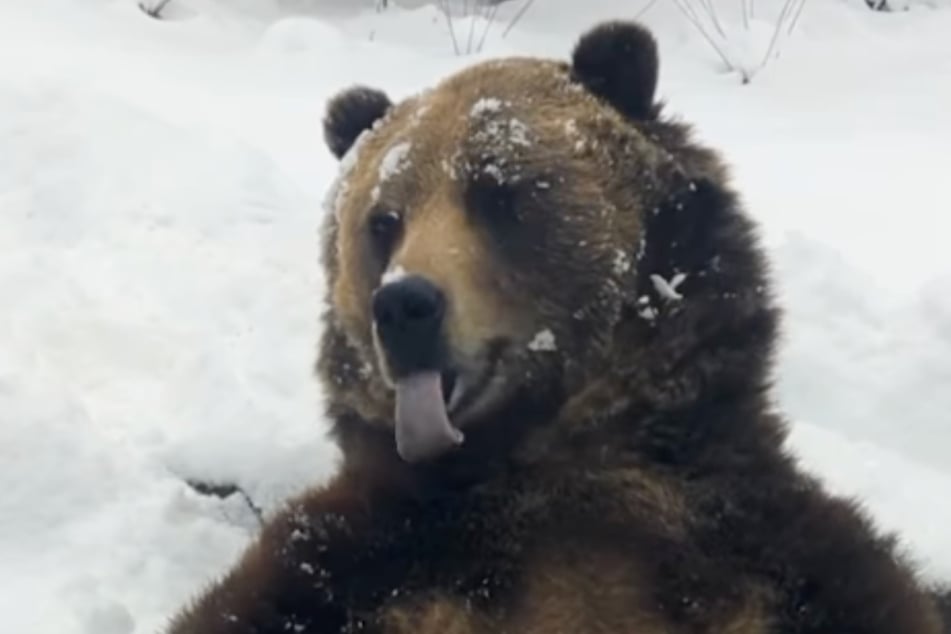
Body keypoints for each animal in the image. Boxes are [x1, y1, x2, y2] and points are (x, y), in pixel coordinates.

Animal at [167, 19, 948, 632]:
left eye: (497, 192)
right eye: (383, 220)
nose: (405, 306)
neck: (546, 459)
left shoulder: (761, 550)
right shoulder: (369, 557)